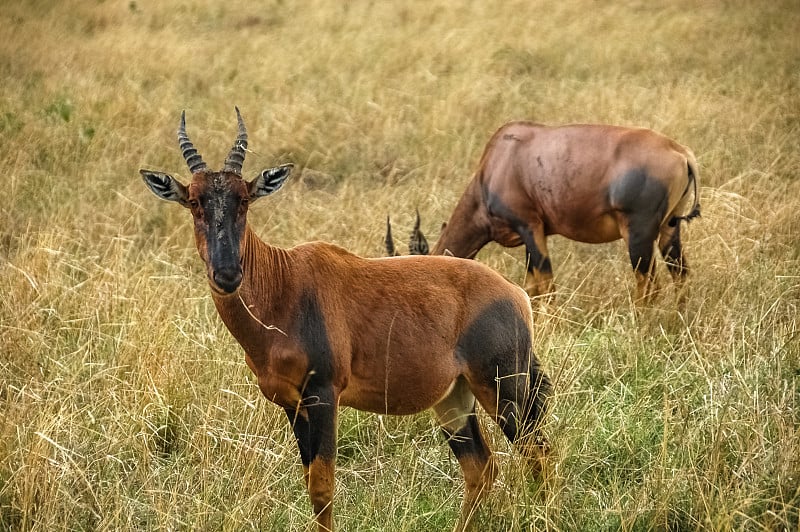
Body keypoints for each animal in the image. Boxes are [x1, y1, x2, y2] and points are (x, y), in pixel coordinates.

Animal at [139, 109, 552, 532]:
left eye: (244, 199)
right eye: (194, 201)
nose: (226, 275)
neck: (284, 281)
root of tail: (515, 295)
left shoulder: (323, 394)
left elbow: (322, 487)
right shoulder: (292, 404)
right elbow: (311, 482)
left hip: (504, 389)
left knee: (539, 454)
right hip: (455, 399)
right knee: (482, 468)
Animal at [392, 120, 700, 304]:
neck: (502, 159)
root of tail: (681, 152)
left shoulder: (529, 226)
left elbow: (545, 285)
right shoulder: (531, 235)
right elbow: (531, 287)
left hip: (638, 234)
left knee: (648, 286)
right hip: (669, 228)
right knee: (681, 275)